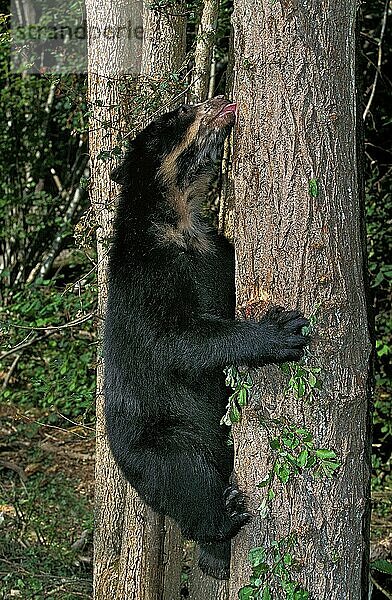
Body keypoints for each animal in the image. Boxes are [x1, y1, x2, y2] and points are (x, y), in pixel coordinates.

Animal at [104, 96, 310, 580]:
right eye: (177, 114)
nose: (221, 99)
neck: (180, 219)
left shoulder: (215, 251)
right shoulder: (146, 274)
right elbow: (174, 340)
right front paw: (279, 332)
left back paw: (215, 554)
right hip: (156, 442)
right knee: (187, 477)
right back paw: (221, 520)